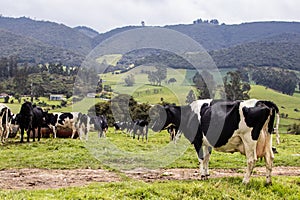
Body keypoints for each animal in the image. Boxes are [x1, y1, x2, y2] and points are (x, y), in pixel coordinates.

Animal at [151, 99, 280, 184]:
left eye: (162, 114)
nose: (153, 127)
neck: (189, 115)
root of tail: (263, 102)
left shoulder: (197, 140)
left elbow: (201, 158)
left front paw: (202, 175)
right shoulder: (207, 143)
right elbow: (207, 158)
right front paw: (207, 175)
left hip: (249, 138)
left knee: (251, 160)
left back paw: (245, 181)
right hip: (268, 136)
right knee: (269, 158)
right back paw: (268, 182)